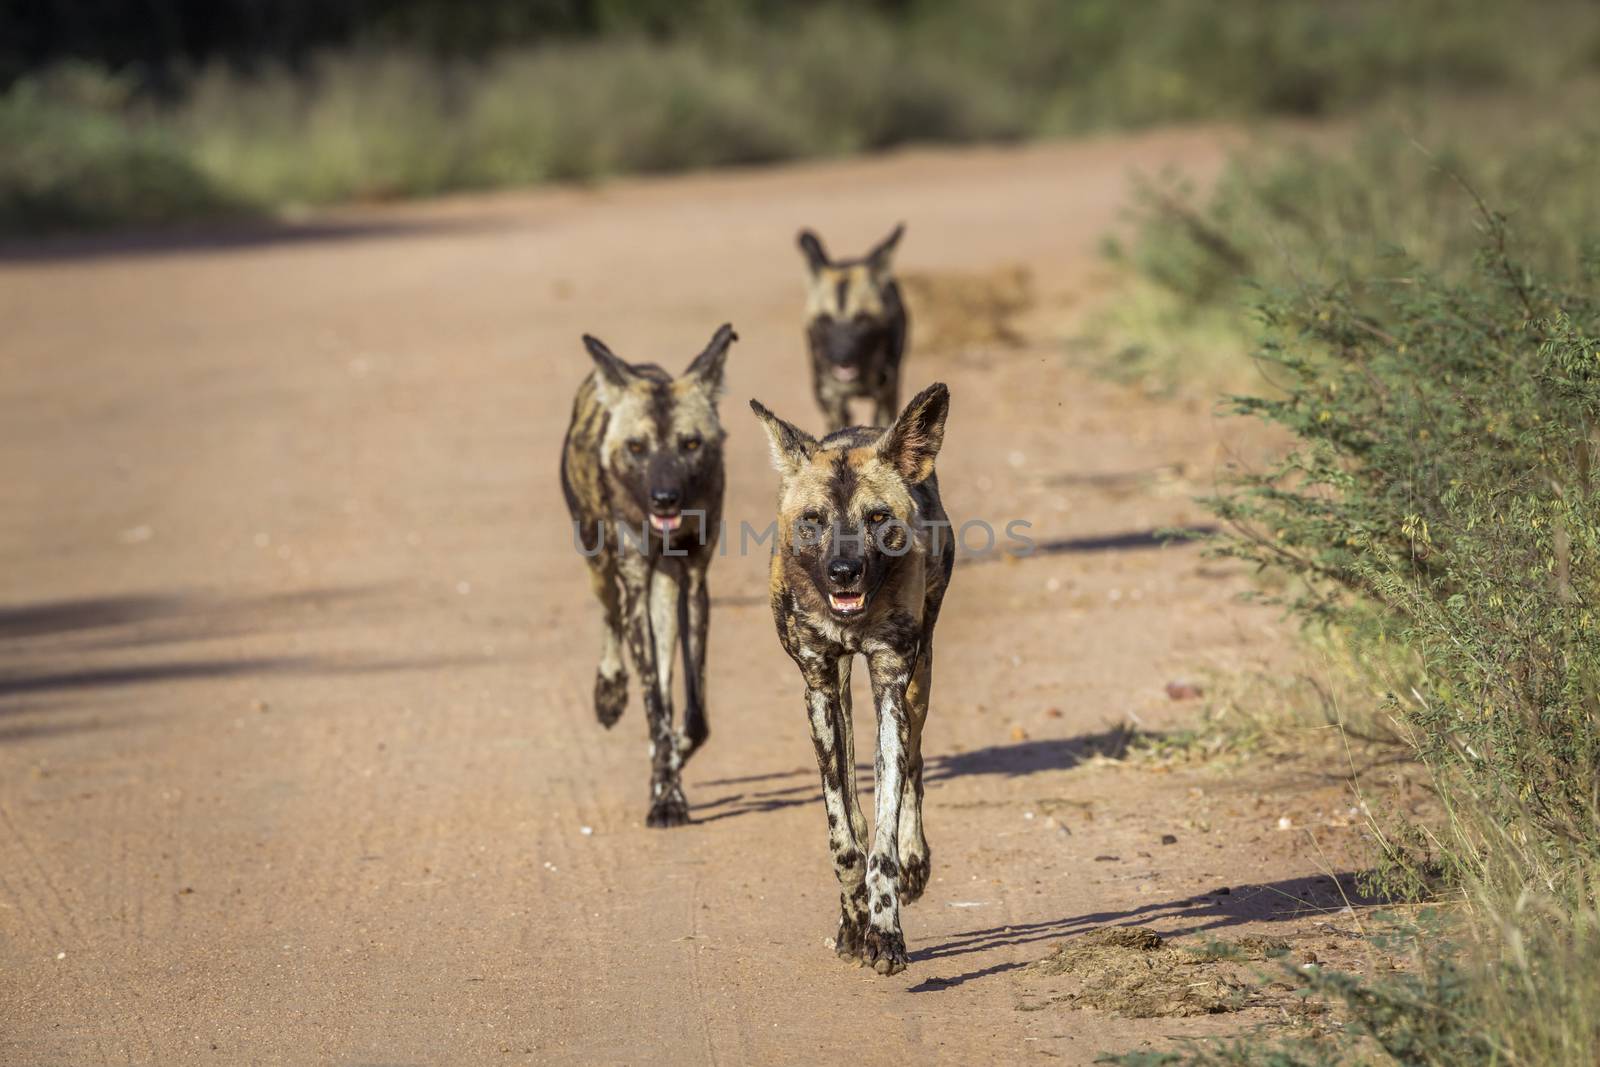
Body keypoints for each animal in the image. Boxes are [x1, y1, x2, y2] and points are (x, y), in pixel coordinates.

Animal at [563, 323, 736, 825]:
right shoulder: (635, 586)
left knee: (663, 677)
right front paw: (665, 794)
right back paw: (609, 691)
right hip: (601, 567)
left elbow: (693, 718)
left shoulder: (694, 585)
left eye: (691, 444)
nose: (664, 498)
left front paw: (670, 769)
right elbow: (655, 710)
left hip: (666, 591)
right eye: (637, 448)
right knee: (611, 621)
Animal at [745, 383, 953, 979]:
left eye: (877, 517)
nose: (843, 573)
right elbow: (844, 835)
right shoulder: (817, 684)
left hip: (918, 679)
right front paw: (856, 924)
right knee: (856, 807)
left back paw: (914, 861)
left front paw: (885, 933)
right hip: (838, 688)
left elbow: (882, 833)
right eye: (813, 520)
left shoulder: (890, 682)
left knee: (913, 767)